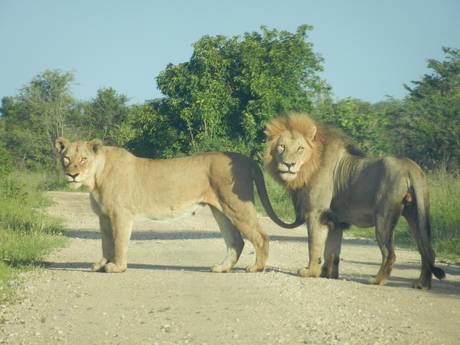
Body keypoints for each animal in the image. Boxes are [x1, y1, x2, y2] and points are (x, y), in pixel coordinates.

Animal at [54, 137, 302, 274]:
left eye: (83, 159)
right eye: (66, 158)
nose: (72, 174)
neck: (95, 179)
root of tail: (245, 158)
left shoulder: (121, 215)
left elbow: (119, 243)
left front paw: (117, 267)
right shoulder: (104, 216)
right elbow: (106, 243)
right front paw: (101, 265)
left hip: (236, 205)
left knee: (260, 236)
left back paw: (256, 268)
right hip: (220, 209)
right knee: (236, 241)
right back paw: (221, 268)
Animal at [262, 113, 446, 288]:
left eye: (300, 148)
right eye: (282, 146)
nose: (289, 164)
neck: (309, 167)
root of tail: (411, 168)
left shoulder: (316, 213)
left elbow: (314, 246)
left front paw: (309, 272)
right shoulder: (335, 221)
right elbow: (332, 252)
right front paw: (328, 274)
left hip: (384, 217)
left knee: (390, 253)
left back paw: (376, 281)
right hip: (416, 214)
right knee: (427, 251)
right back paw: (422, 284)